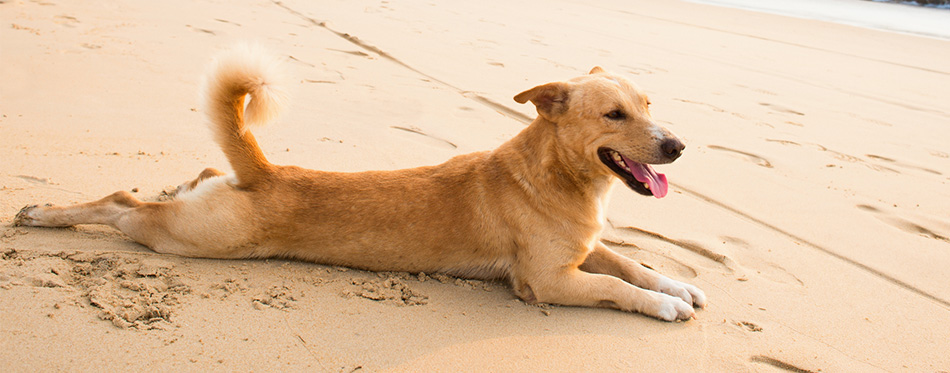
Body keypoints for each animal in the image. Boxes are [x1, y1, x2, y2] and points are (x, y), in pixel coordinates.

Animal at [13, 45, 708, 320]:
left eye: (649, 104)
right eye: (615, 115)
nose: (677, 145)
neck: (555, 176)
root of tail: (262, 170)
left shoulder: (587, 249)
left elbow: (635, 266)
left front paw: (678, 285)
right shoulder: (550, 281)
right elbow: (616, 288)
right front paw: (664, 305)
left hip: (198, 209)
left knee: (168, 187)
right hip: (191, 238)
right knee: (121, 204)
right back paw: (43, 214)